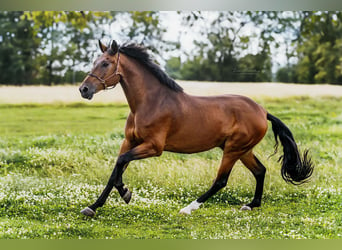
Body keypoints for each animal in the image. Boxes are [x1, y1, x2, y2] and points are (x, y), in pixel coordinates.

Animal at [79, 40, 314, 217]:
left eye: (105, 63)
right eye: (95, 62)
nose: (84, 89)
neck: (150, 103)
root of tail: (262, 111)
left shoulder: (153, 147)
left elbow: (120, 163)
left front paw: (126, 193)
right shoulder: (129, 142)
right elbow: (115, 170)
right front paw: (93, 207)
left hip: (233, 149)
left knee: (221, 181)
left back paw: (188, 208)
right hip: (242, 150)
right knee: (260, 171)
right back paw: (251, 204)